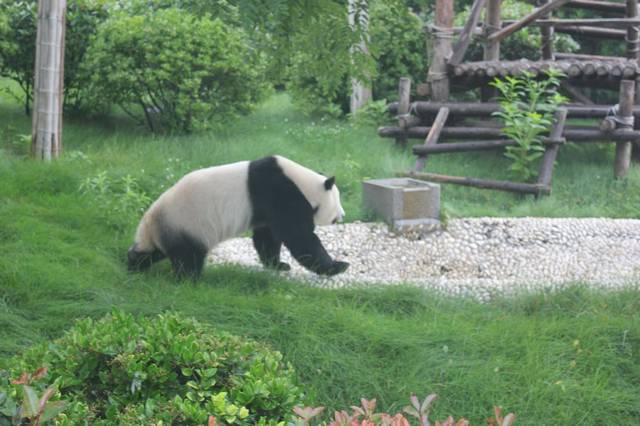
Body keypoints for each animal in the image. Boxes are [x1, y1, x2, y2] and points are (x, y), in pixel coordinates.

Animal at [127, 156, 350, 280]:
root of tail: (150, 223)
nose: (343, 215)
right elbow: (300, 237)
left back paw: (133, 266)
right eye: (338, 201)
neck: (303, 183)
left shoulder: (267, 207)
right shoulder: (280, 193)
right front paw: (338, 266)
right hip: (186, 224)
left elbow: (267, 237)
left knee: (150, 252)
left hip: (166, 232)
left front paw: (278, 265)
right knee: (188, 257)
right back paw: (188, 280)